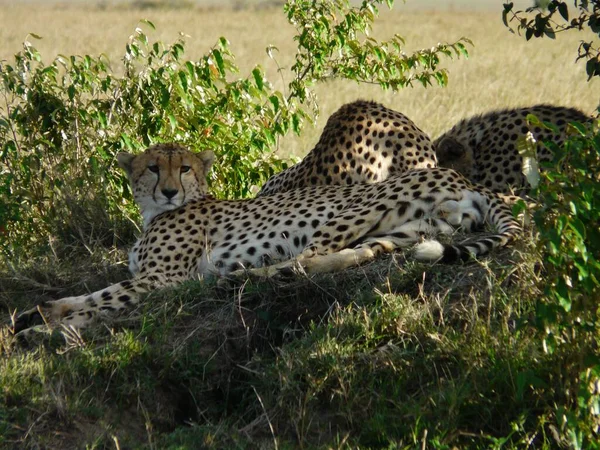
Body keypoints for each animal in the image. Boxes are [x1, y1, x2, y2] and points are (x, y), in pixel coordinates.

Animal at [12, 142, 520, 332]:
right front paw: (43, 311)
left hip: (355, 207)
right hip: (405, 231)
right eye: (153, 167)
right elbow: (92, 293)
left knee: (307, 257)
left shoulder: (163, 279)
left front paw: (46, 329)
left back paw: (240, 276)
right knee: (344, 256)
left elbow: (106, 298)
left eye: (185, 168)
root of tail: (465, 178)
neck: (155, 212)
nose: (171, 190)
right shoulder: (148, 274)